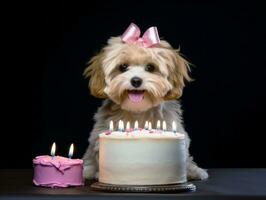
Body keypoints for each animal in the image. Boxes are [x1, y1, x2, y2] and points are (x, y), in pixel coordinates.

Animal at [82, 23, 208, 180]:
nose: (136, 80)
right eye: (123, 67)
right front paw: (97, 172)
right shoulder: (100, 131)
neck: (138, 111)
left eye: (150, 67)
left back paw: (193, 170)